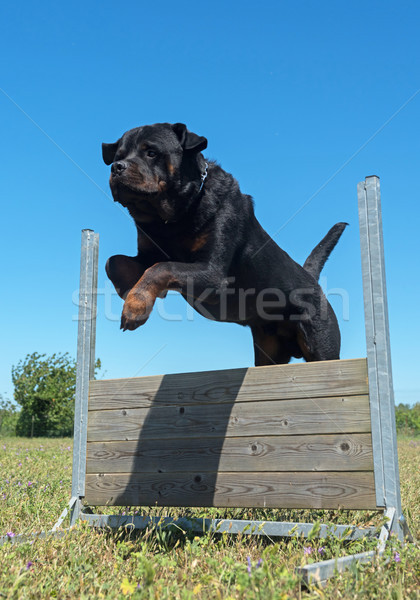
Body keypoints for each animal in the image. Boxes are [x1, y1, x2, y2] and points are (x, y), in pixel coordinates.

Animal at [103, 122, 346, 366]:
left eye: (151, 152)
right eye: (118, 156)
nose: (116, 167)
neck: (173, 218)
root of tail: (312, 280)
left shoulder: (213, 273)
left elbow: (161, 268)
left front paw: (135, 306)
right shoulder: (148, 253)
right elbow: (113, 262)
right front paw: (131, 292)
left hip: (321, 342)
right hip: (269, 351)